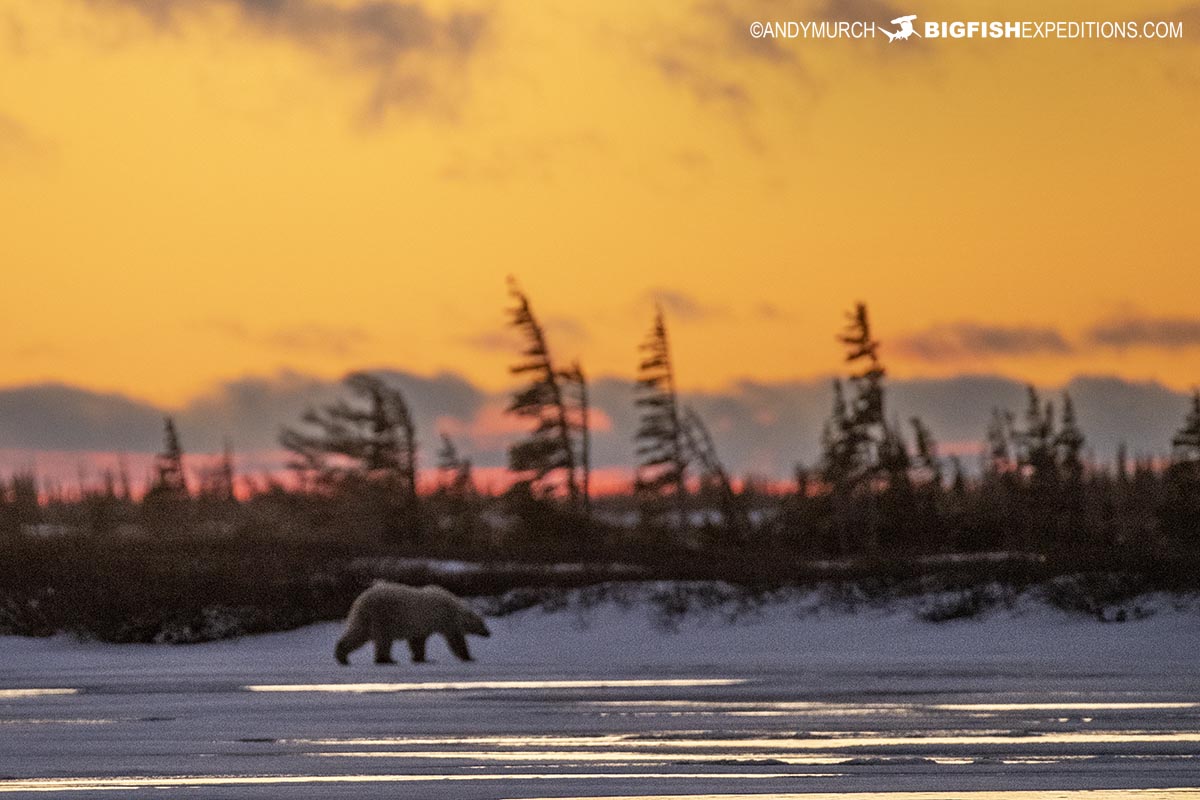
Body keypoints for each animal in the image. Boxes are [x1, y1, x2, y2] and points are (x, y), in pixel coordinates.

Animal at [336, 585, 489, 666]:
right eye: (482, 623)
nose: (488, 632)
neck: (455, 609)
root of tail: (361, 600)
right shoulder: (444, 620)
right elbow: (455, 639)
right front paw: (468, 657)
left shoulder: (421, 625)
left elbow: (417, 641)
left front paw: (420, 658)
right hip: (383, 616)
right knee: (383, 639)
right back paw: (387, 660)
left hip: (365, 618)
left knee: (358, 634)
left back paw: (342, 656)